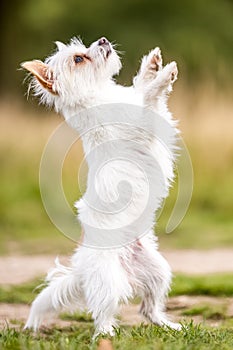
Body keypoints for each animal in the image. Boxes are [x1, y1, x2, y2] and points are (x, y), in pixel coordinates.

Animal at [21, 35, 180, 336]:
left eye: (84, 48)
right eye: (78, 59)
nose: (103, 40)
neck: (98, 96)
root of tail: (80, 271)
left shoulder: (151, 113)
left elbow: (144, 89)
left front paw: (152, 64)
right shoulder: (142, 121)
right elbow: (149, 97)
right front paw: (163, 75)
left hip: (158, 271)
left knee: (148, 308)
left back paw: (169, 325)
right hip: (108, 282)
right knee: (103, 313)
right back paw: (107, 334)